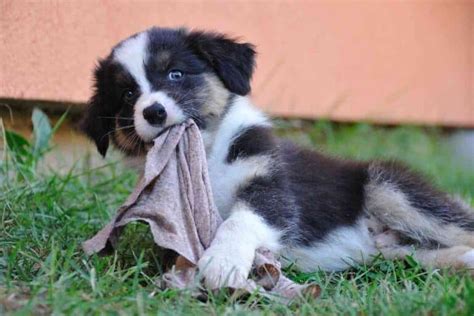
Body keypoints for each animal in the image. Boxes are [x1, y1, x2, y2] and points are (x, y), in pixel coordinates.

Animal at [81, 27, 474, 288]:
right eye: (128, 95)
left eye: (175, 73)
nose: (154, 112)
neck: (208, 155)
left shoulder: (270, 184)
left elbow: (239, 220)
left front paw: (222, 262)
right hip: (398, 250)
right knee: (425, 253)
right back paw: (463, 263)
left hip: (389, 187)